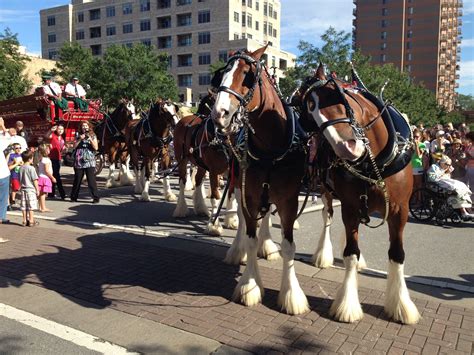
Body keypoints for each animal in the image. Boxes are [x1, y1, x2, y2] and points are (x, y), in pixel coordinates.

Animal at [210, 46, 308, 316]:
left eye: (248, 75)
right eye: (221, 75)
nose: (219, 114)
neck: (270, 149)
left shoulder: (288, 200)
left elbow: (289, 246)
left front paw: (291, 295)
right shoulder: (250, 194)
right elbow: (250, 238)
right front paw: (249, 286)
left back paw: (267, 246)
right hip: (238, 185)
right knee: (244, 221)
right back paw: (237, 250)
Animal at [300, 64, 418, 326]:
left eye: (337, 95)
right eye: (309, 111)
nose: (346, 148)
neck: (374, 164)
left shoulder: (400, 210)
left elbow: (397, 254)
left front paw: (401, 306)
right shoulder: (351, 207)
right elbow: (351, 253)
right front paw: (347, 306)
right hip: (326, 192)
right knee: (327, 217)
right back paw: (322, 255)